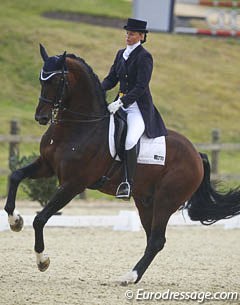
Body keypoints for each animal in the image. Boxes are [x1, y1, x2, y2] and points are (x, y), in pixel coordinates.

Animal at [4, 44, 240, 284]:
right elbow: (15, 176)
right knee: (153, 239)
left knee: (156, 239)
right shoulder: (47, 166)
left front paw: (42, 260)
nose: (41, 118)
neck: (79, 126)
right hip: (145, 201)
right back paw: (132, 276)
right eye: (41, 79)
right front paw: (15, 221)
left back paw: (129, 276)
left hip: (166, 200)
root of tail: (196, 154)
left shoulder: (73, 184)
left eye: (57, 80)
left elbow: (40, 218)